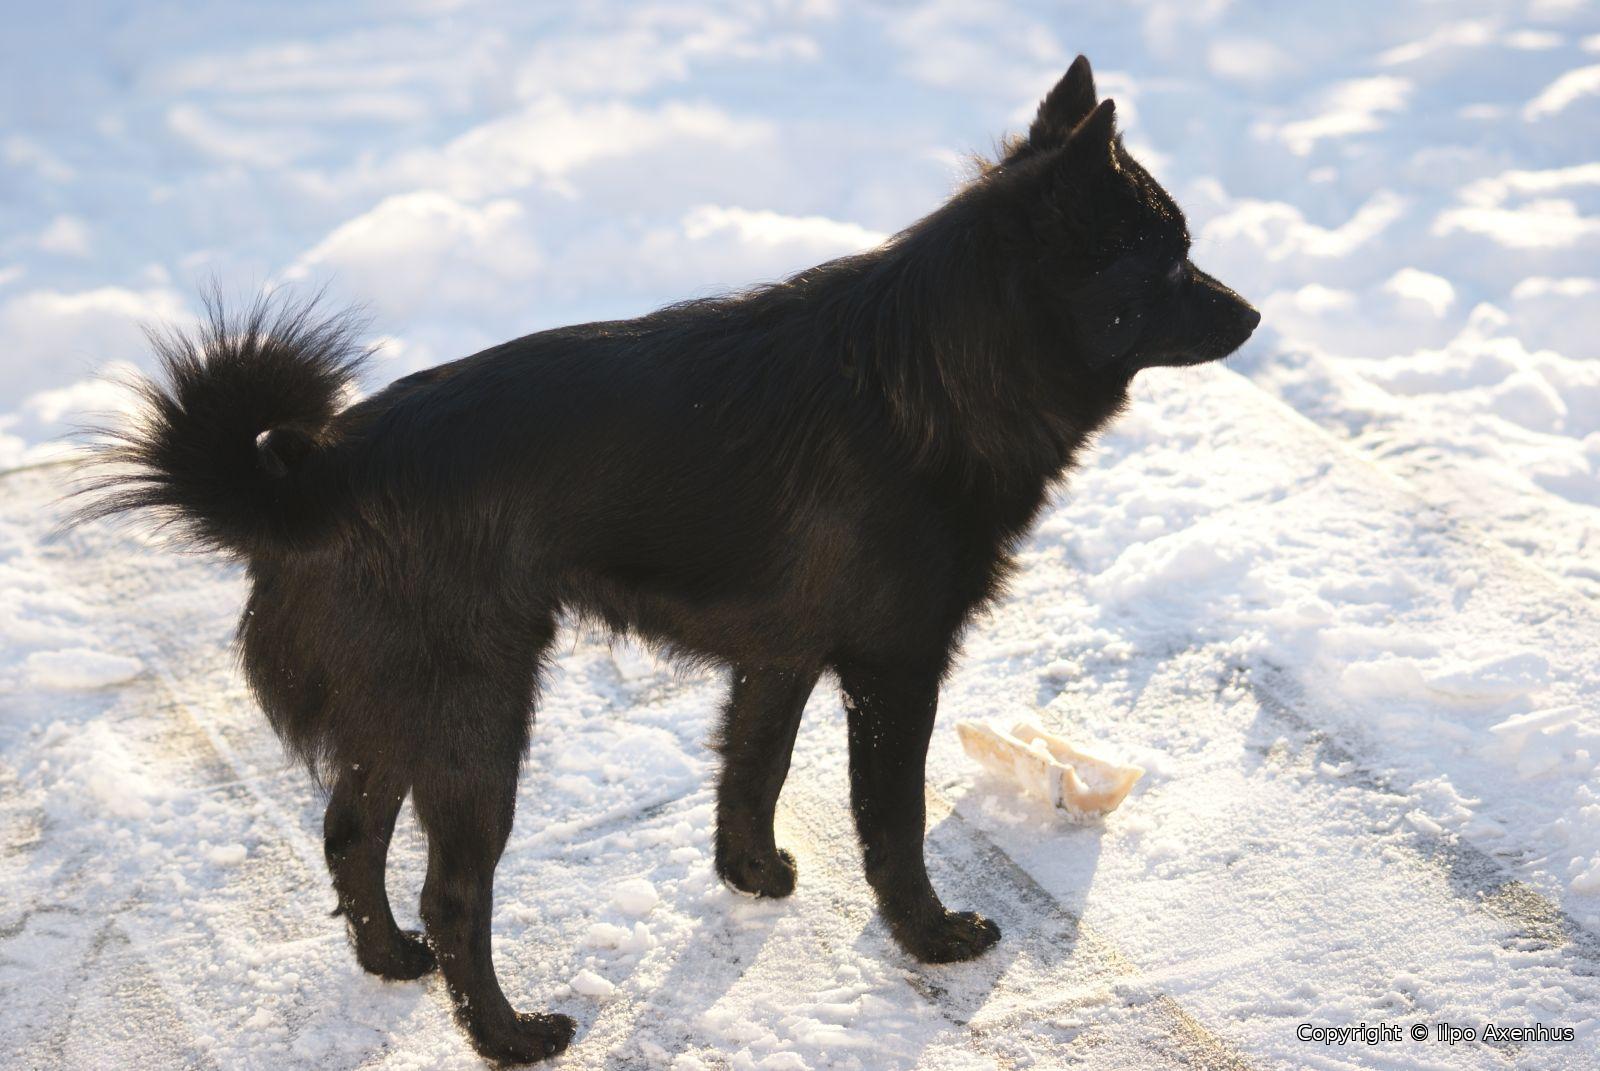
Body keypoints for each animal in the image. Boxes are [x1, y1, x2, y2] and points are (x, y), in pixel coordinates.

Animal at [77, 56, 1258, 1064]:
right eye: (1168, 258)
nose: (1252, 315)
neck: (933, 373)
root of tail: (320, 476)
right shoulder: (892, 668)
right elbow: (893, 821)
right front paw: (927, 936)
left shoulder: (780, 654)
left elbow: (752, 768)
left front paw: (751, 874)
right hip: (477, 721)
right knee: (451, 894)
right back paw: (507, 1035)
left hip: (397, 713)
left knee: (348, 835)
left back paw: (389, 962)